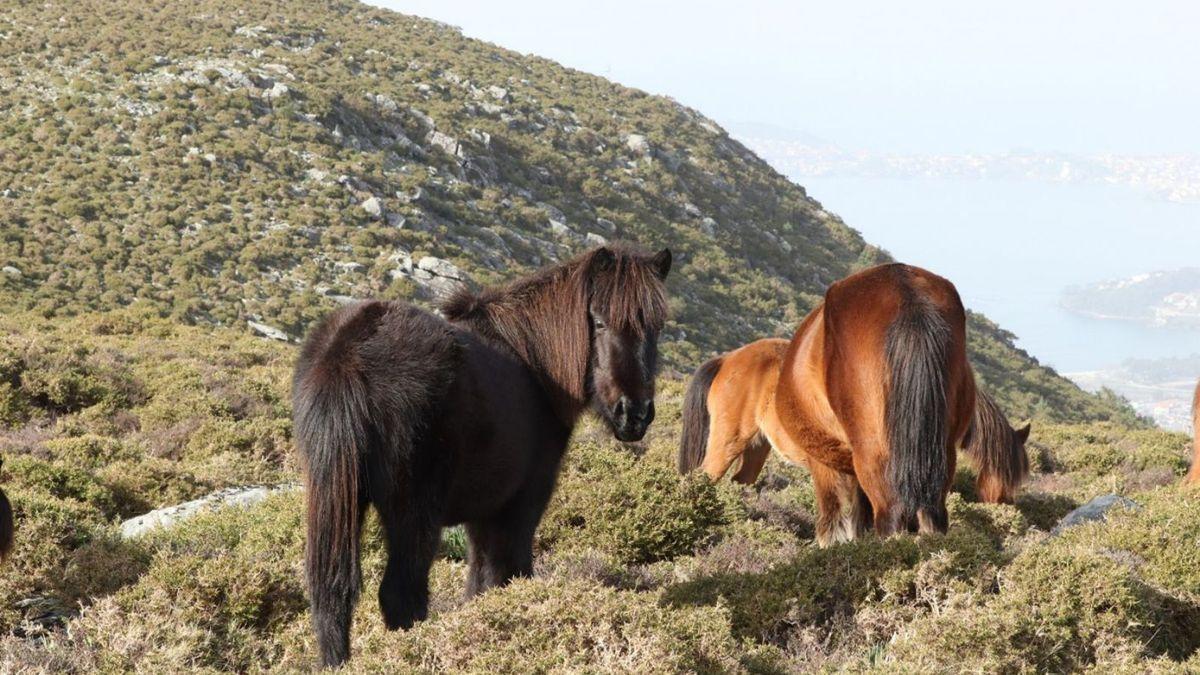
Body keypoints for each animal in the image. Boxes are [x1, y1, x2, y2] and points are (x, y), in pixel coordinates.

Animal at [294, 242, 672, 662]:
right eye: (600, 321)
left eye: (656, 326)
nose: (634, 413)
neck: (534, 362)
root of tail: (350, 352)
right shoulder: (520, 505)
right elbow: (509, 574)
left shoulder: (482, 515)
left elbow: (479, 584)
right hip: (414, 514)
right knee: (401, 595)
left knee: (331, 596)